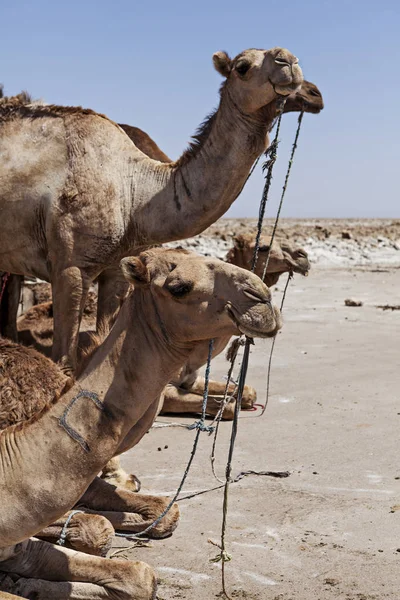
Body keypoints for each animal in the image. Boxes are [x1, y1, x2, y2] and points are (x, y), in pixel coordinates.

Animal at [0, 47, 304, 372]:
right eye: (243, 67)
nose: (289, 61)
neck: (134, 191)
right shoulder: (69, 266)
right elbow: (64, 358)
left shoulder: (117, 270)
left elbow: (104, 333)